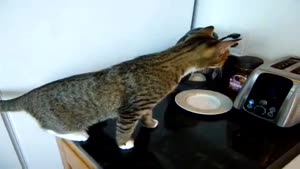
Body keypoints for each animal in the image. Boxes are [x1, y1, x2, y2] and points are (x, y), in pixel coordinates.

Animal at [0, 25, 239, 149]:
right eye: (225, 56)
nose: (225, 64)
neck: (172, 59)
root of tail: (30, 95)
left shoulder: (145, 104)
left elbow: (147, 115)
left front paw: (150, 123)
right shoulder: (130, 109)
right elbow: (125, 128)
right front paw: (124, 143)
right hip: (64, 121)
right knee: (49, 128)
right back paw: (79, 135)